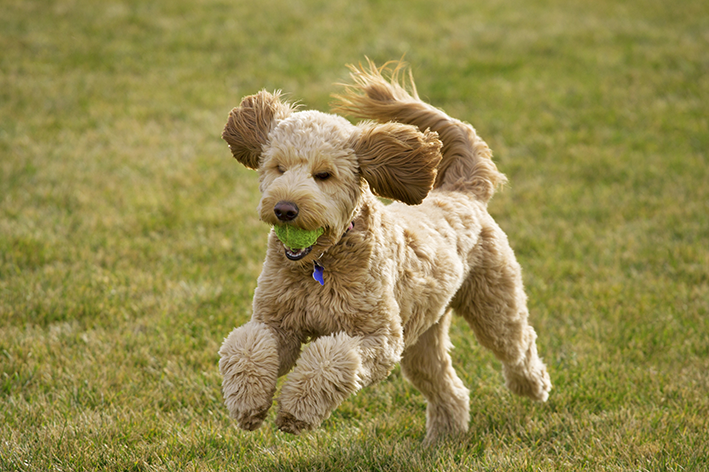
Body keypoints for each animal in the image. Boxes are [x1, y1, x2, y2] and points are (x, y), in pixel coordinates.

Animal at [218, 60, 552, 444]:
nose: (285, 209)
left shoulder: (380, 337)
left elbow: (333, 358)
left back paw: (534, 386)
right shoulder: (278, 324)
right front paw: (248, 403)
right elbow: (247, 346)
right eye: (278, 167)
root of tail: (464, 192)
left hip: (494, 305)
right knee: (446, 385)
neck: (321, 264)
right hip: (422, 337)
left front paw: (296, 411)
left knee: (519, 345)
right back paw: (443, 437)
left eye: (324, 175)